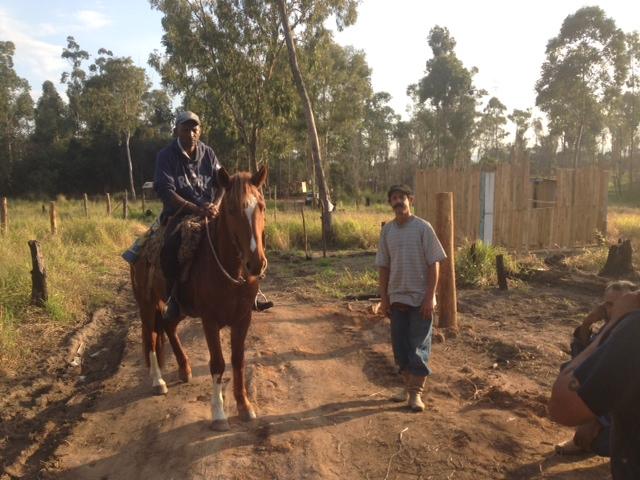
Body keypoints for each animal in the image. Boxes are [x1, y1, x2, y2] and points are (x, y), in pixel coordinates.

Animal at [130, 166, 268, 432]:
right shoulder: (209, 321)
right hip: (147, 305)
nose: (255, 264)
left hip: (179, 307)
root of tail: (142, 247)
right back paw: (158, 381)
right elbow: (218, 363)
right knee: (150, 338)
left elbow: (238, 360)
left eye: (262, 206)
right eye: (231, 209)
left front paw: (244, 406)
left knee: (168, 326)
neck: (230, 271)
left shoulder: (243, 319)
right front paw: (219, 414)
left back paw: (184, 369)